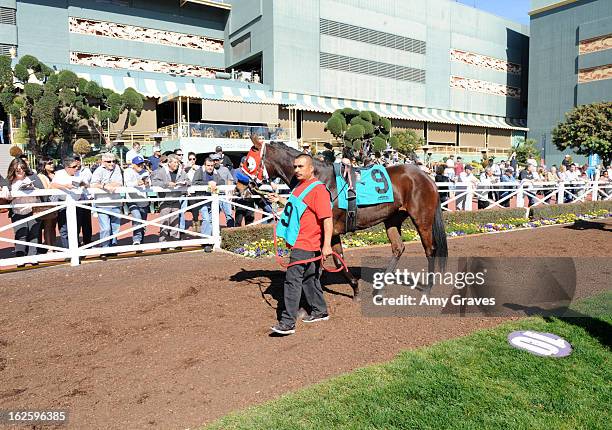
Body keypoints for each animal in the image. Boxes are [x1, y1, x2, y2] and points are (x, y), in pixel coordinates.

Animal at [237, 138, 448, 298]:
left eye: (248, 162)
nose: (239, 186)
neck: (321, 180)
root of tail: (426, 176)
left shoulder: (325, 231)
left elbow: (320, 262)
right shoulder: (332, 232)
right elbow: (338, 261)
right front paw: (355, 288)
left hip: (422, 219)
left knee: (430, 250)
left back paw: (427, 288)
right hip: (392, 218)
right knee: (398, 248)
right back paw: (379, 289)